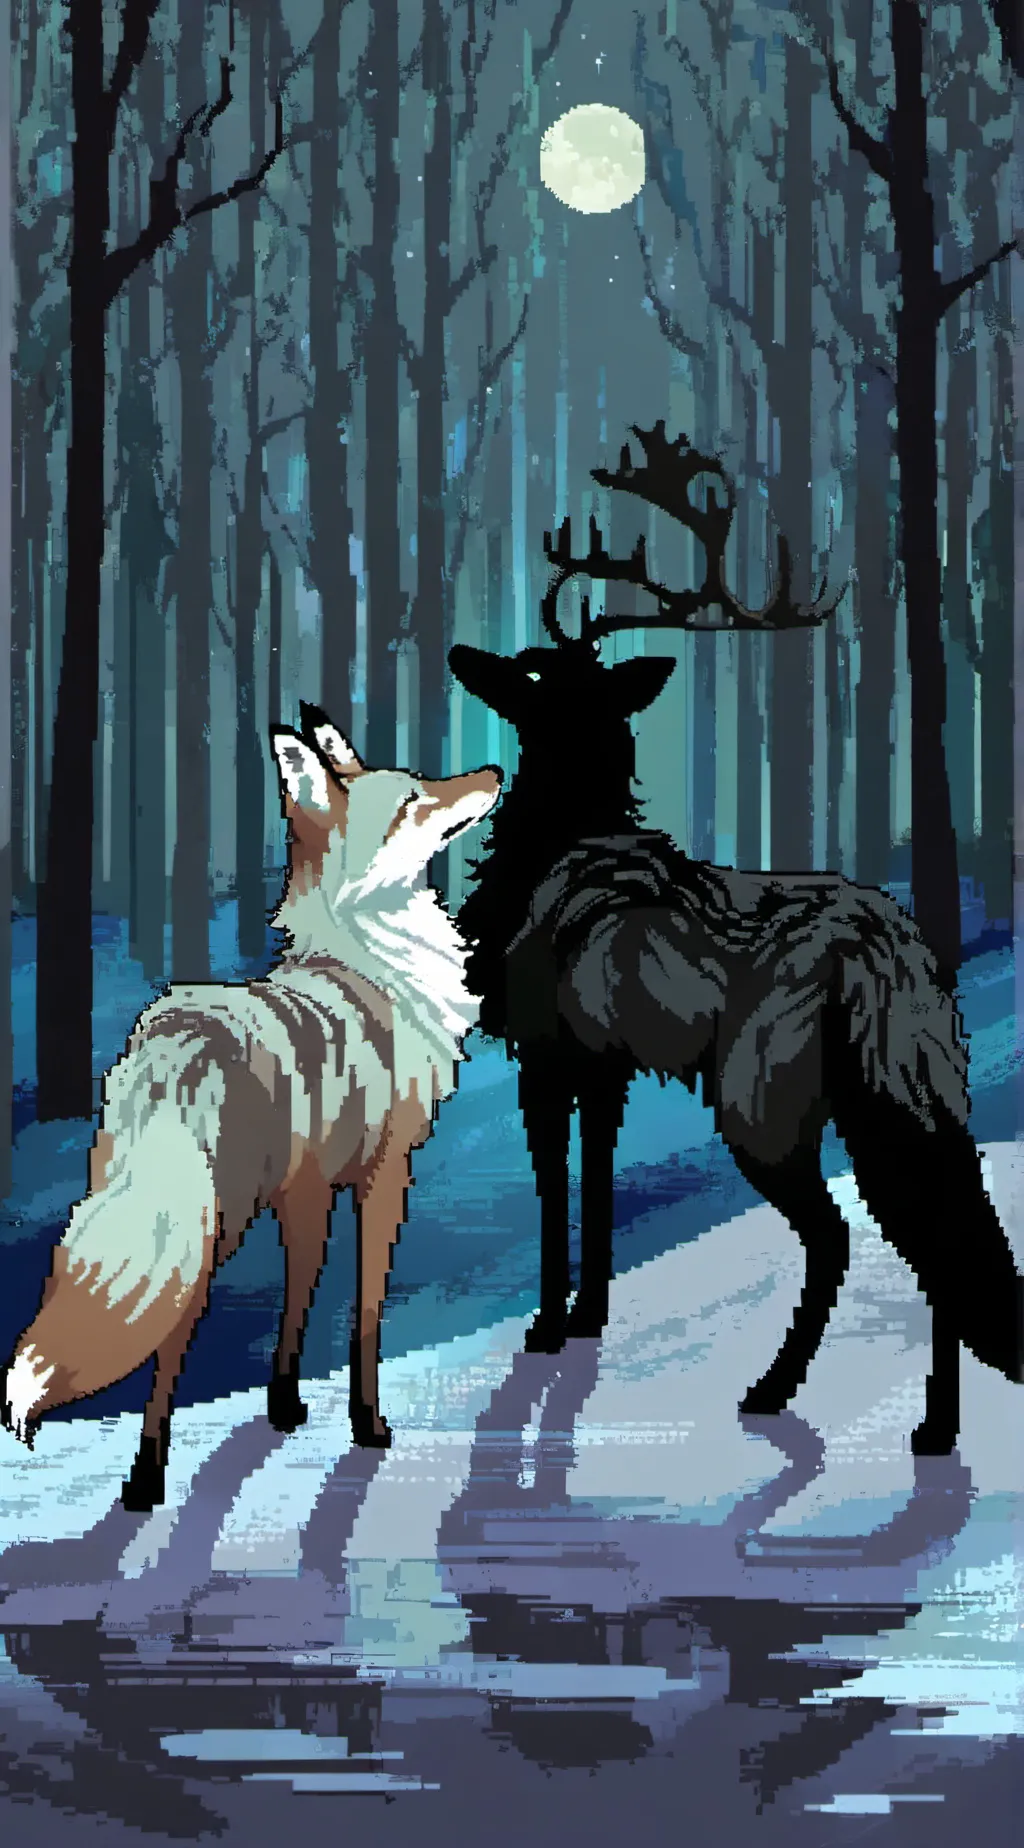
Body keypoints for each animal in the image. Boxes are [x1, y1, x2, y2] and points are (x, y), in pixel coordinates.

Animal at [0, 704, 502, 1513]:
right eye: (411, 800)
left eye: (423, 782)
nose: (493, 771)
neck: (371, 960)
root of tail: (175, 1037)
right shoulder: (384, 1175)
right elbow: (365, 1314)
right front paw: (368, 1425)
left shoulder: (304, 1189)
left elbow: (298, 1298)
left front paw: (285, 1406)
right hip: (212, 1224)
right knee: (170, 1341)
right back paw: (145, 1481)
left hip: (156, 1208)